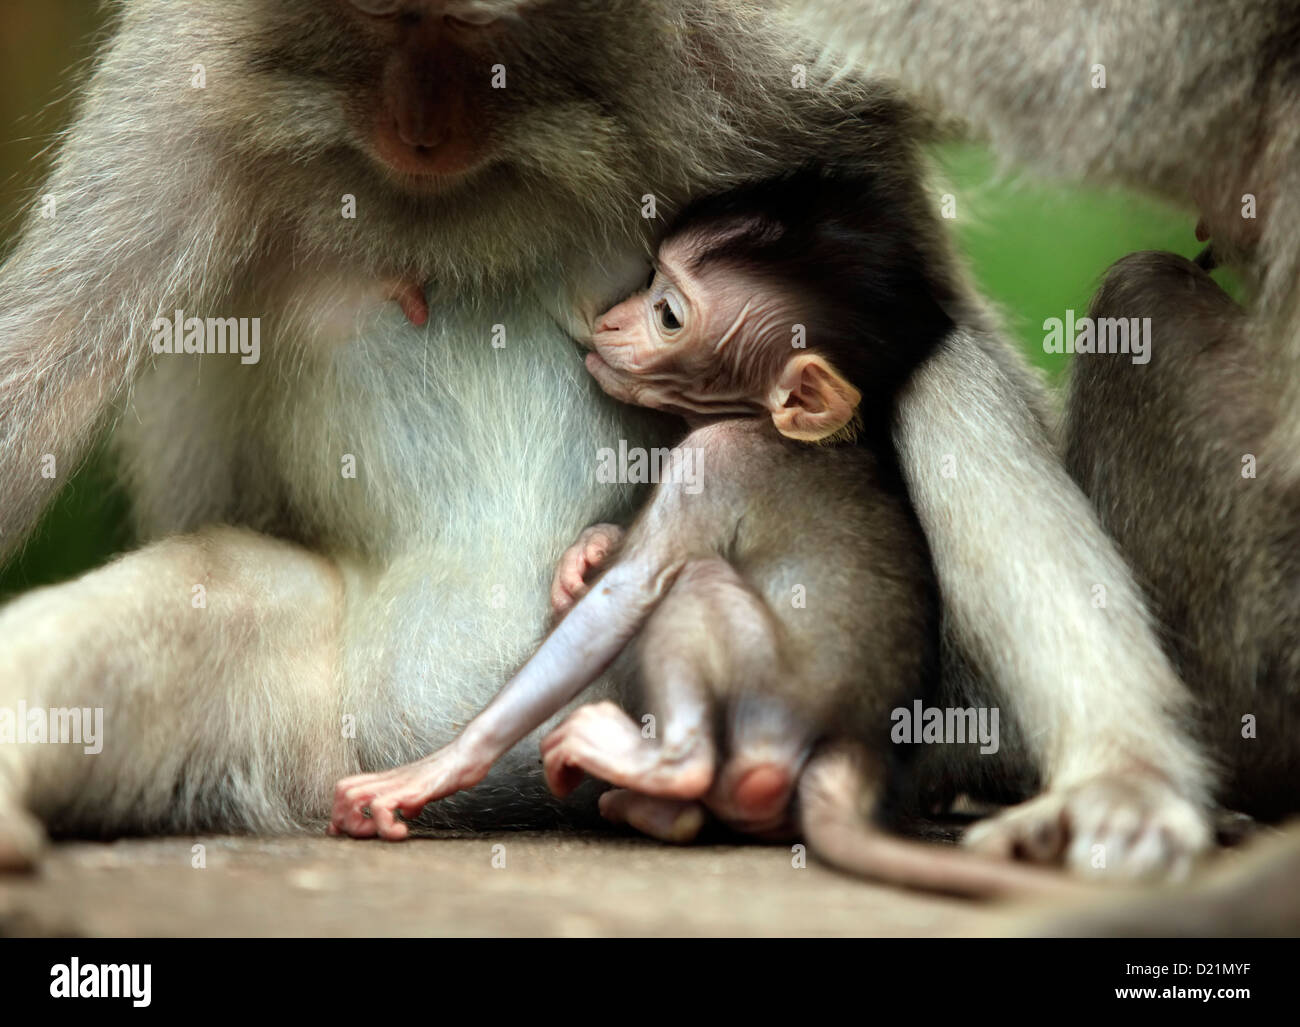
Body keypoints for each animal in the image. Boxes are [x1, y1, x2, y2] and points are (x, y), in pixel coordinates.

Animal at [0, 0, 1213, 883]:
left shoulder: (755, 56)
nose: (422, 125)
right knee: (228, 591)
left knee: (938, 379)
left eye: (476, 28)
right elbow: (33, 377)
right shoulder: (183, 83)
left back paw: (1114, 776)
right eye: (381, 16)